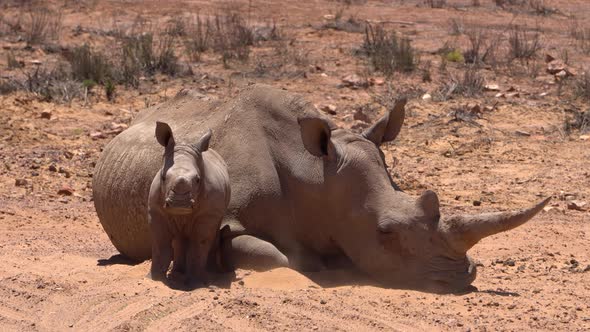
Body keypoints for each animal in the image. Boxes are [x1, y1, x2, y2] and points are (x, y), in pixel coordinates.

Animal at [147, 122, 230, 286]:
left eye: (198, 180)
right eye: (163, 177)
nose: (180, 203)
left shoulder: (209, 213)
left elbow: (199, 244)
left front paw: (196, 282)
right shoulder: (156, 211)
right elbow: (160, 243)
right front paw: (154, 279)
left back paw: (211, 274)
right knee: (179, 238)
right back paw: (177, 274)